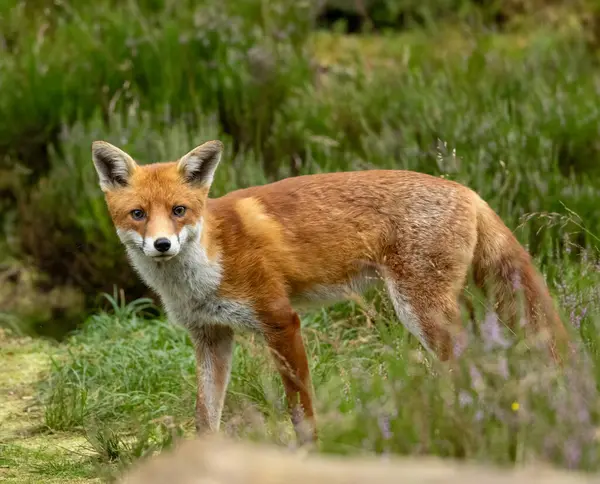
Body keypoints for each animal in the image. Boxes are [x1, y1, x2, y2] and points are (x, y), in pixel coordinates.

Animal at [91, 138, 568, 444]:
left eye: (179, 210)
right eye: (138, 214)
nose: (162, 245)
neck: (209, 261)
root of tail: (467, 189)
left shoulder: (280, 320)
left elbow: (300, 408)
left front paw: (311, 452)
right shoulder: (211, 336)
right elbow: (206, 415)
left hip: (420, 310)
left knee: (471, 363)